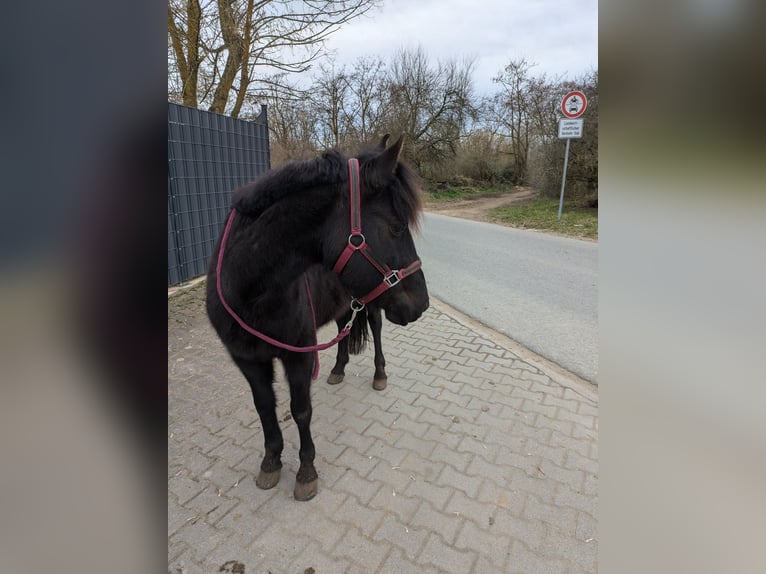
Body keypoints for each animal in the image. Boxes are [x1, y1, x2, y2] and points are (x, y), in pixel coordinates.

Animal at [207, 137, 428, 502]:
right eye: (396, 228)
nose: (422, 304)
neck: (249, 290)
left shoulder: (299, 354)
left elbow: (300, 409)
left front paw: (306, 471)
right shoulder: (247, 360)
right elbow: (264, 407)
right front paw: (271, 461)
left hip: (373, 304)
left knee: (376, 330)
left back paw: (379, 374)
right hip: (344, 304)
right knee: (343, 331)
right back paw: (338, 369)